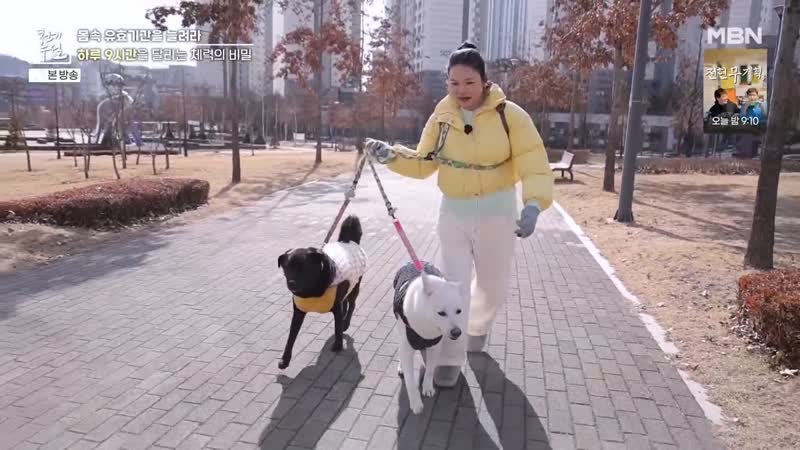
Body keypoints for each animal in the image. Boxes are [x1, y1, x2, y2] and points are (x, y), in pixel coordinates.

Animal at [277, 215, 366, 369]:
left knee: (351, 304)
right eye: (286, 267)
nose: (291, 283)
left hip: (355, 285)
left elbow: (337, 328)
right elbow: (291, 336)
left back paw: (346, 322)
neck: (311, 291)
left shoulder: (336, 306)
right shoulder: (298, 313)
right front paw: (285, 359)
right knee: (344, 303)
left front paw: (338, 345)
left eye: (304, 268)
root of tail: (348, 241)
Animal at [393, 261, 465, 414]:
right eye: (441, 313)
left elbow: (431, 369)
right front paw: (416, 403)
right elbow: (410, 380)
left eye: (459, 311)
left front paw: (427, 387)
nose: (457, 332)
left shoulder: (435, 346)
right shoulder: (407, 347)